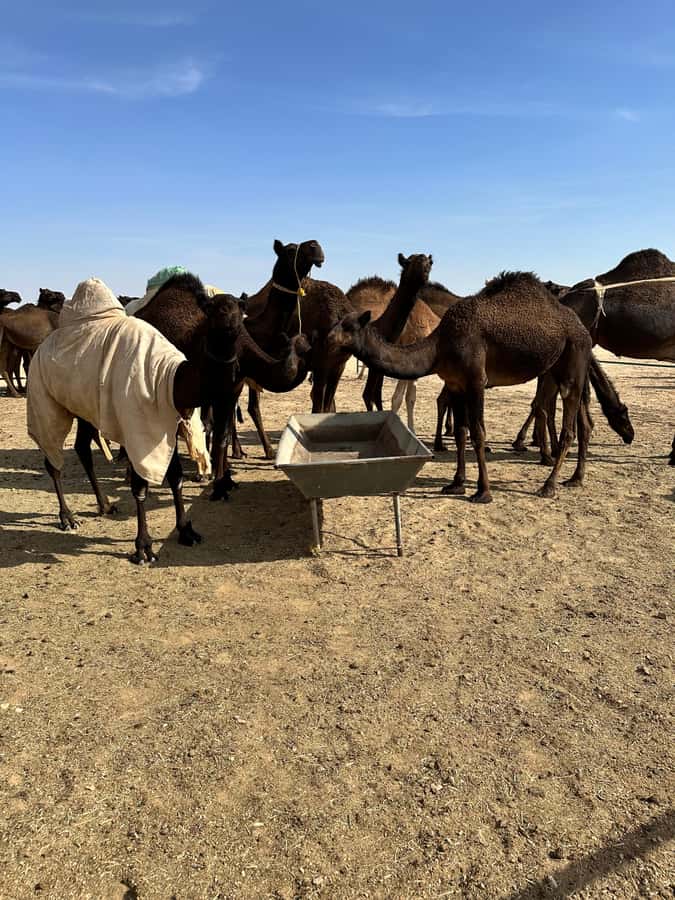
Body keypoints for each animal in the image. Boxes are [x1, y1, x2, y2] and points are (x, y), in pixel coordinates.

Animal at [28, 280, 247, 564]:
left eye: (240, 308)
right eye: (215, 309)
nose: (233, 325)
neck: (169, 377)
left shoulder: (166, 422)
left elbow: (176, 477)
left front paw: (186, 531)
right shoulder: (137, 425)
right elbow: (140, 486)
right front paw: (143, 548)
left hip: (86, 408)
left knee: (81, 447)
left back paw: (105, 505)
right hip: (45, 399)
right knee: (52, 456)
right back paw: (67, 518)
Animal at [136, 241, 322, 499]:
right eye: (290, 250)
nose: (316, 248)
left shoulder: (235, 383)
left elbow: (225, 428)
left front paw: (224, 475)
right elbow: (218, 421)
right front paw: (208, 473)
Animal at [327, 271, 593, 502]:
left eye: (349, 327)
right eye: (337, 323)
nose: (328, 338)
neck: (440, 345)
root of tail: (584, 330)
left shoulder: (476, 381)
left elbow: (478, 433)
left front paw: (483, 492)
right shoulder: (455, 383)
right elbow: (460, 432)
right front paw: (456, 483)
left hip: (574, 357)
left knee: (569, 426)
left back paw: (549, 485)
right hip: (554, 370)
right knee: (578, 419)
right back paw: (574, 478)